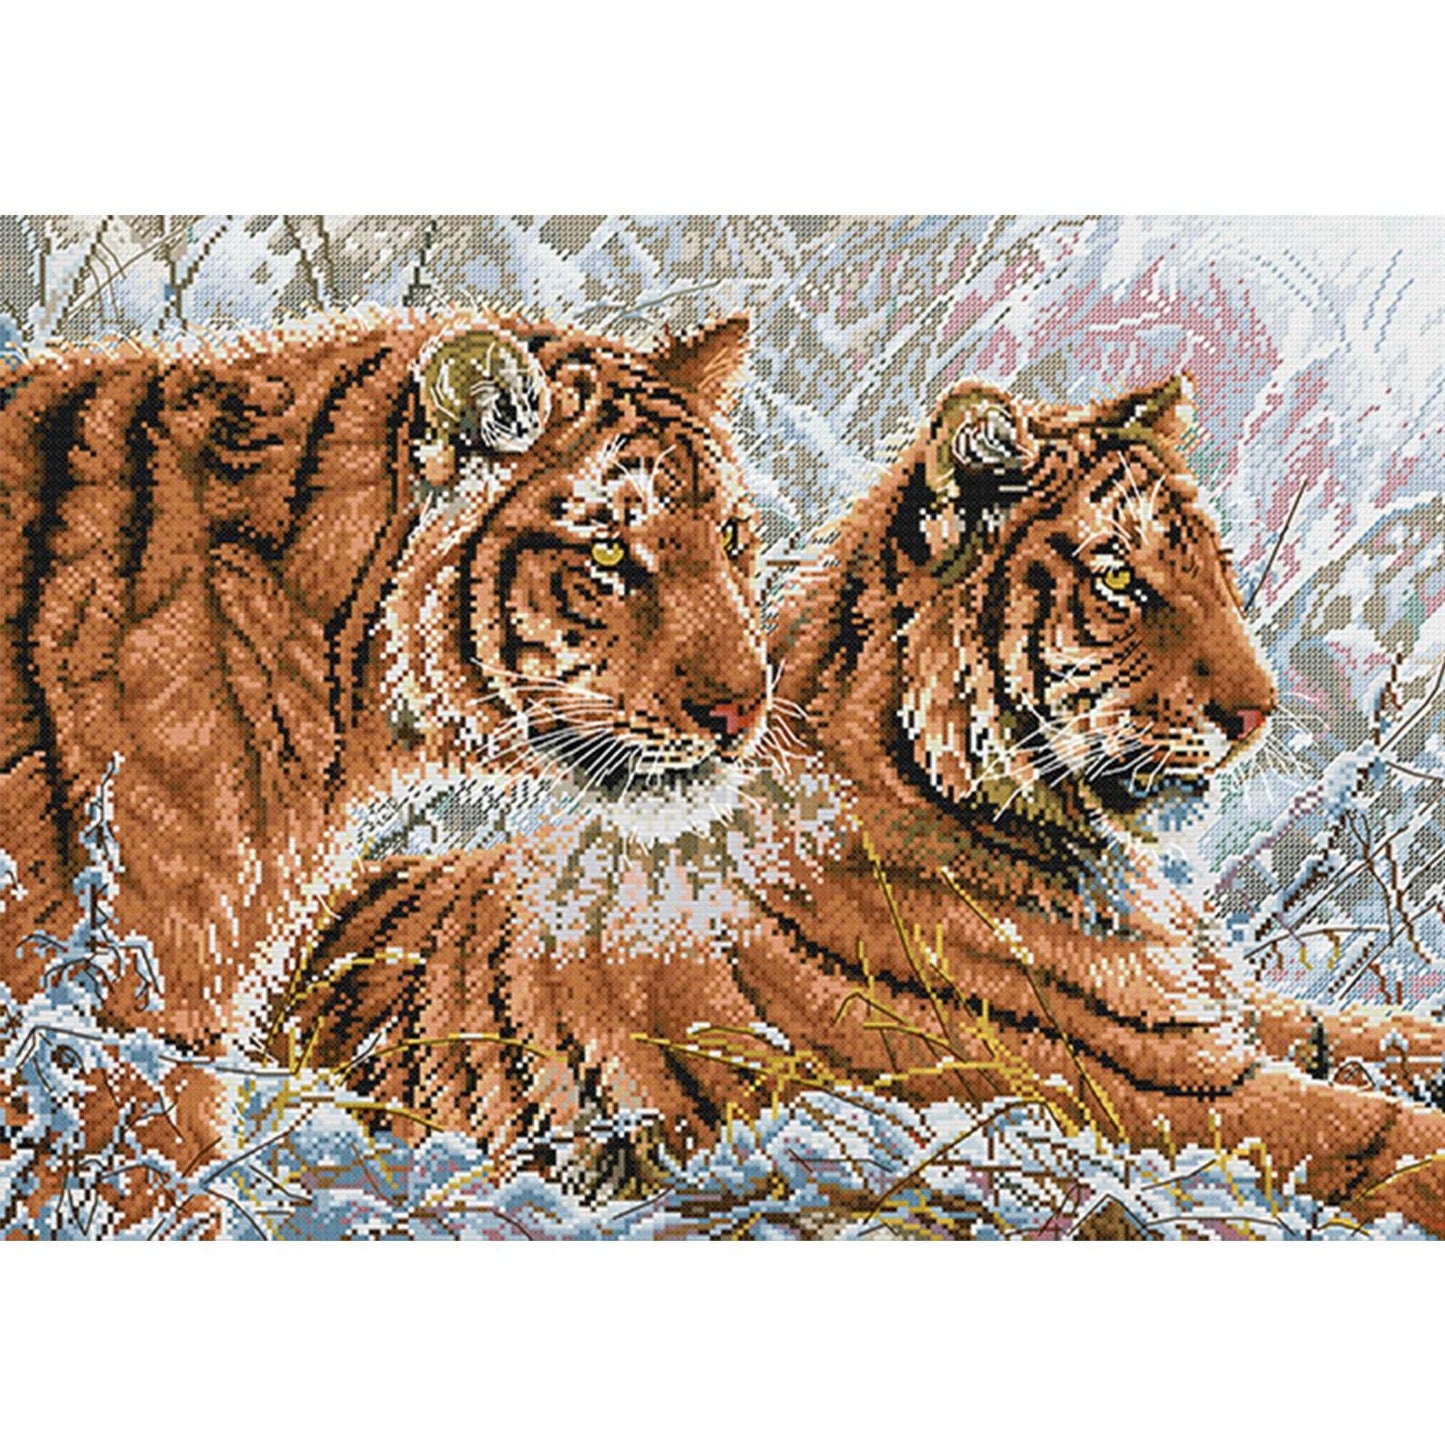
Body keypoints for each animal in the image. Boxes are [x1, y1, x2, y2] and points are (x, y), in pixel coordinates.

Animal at [277, 372, 1445, 1233]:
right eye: (1120, 580)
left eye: (1216, 570)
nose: (1256, 712)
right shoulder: (1151, 1084)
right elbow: (1377, 1134)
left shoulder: (1223, 1012)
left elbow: (1385, 1037)